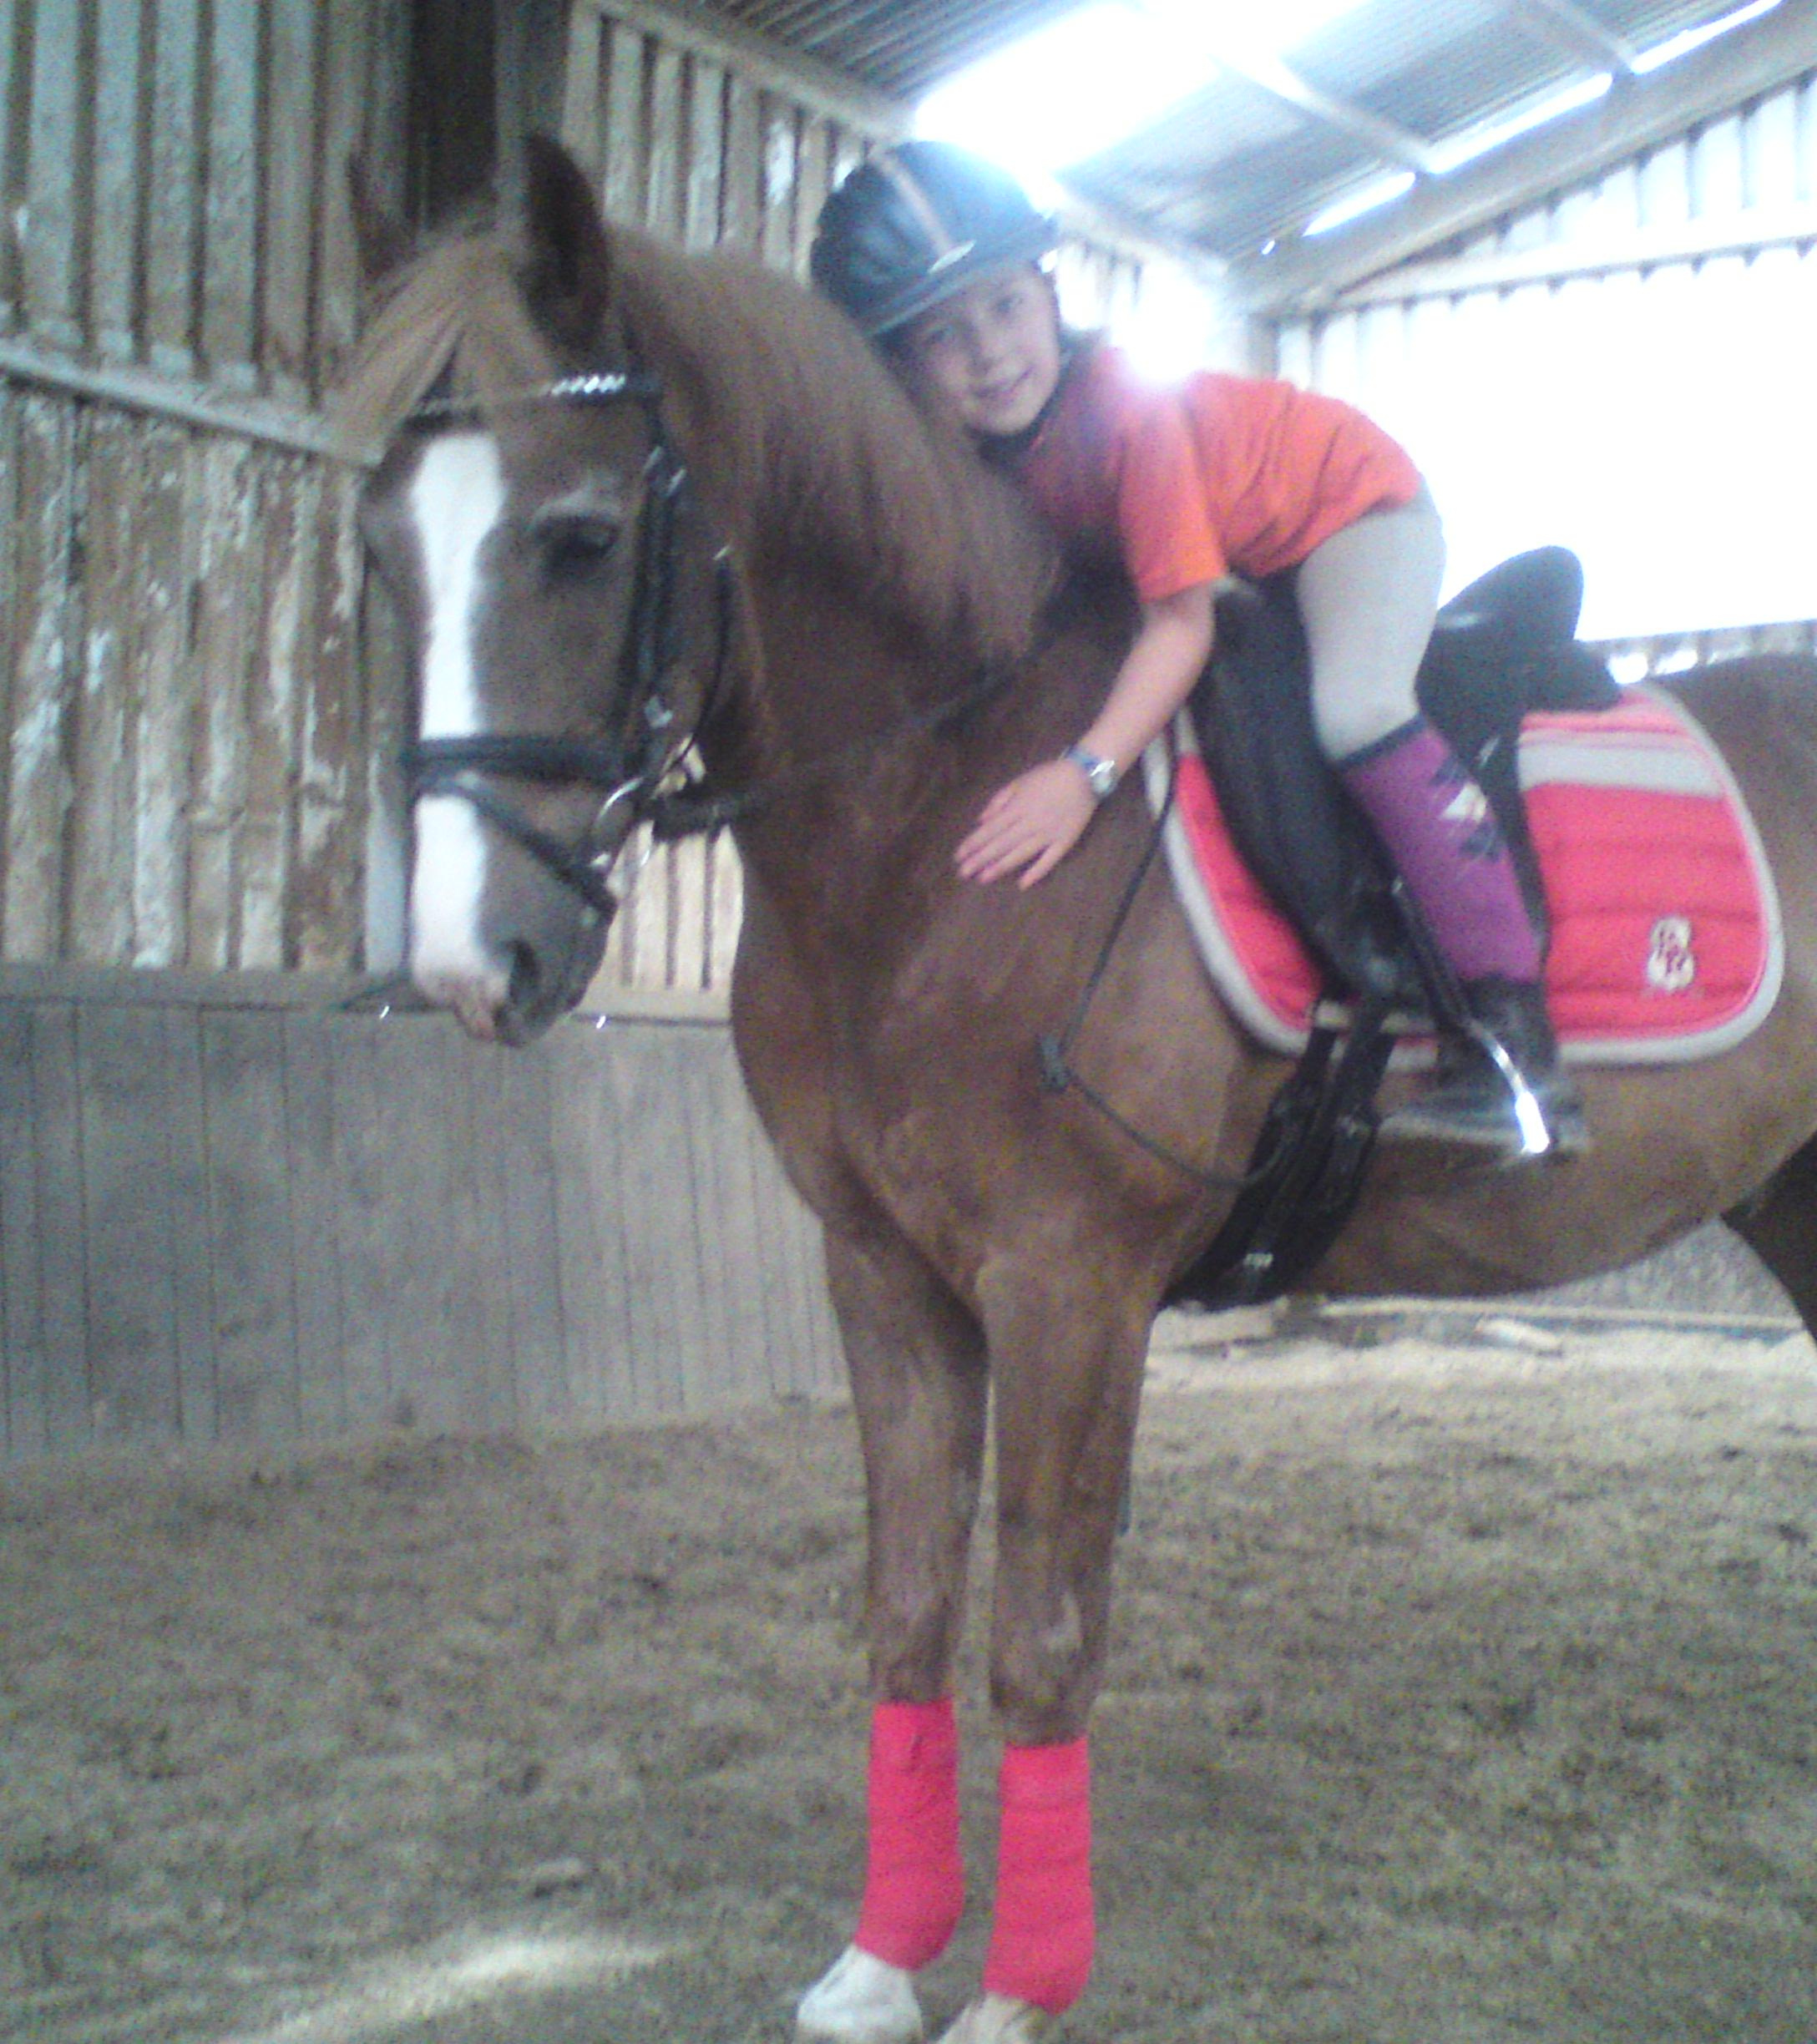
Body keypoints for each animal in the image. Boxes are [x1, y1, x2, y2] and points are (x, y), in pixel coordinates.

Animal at [343, 140, 1817, 2043]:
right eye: (382, 546)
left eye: (580, 537)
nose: (472, 960)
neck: (934, 811)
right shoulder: (884, 1275)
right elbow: (905, 1611)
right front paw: (881, 1958)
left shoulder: (1070, 1285)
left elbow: (1039, 1638)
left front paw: (1018, 1990)